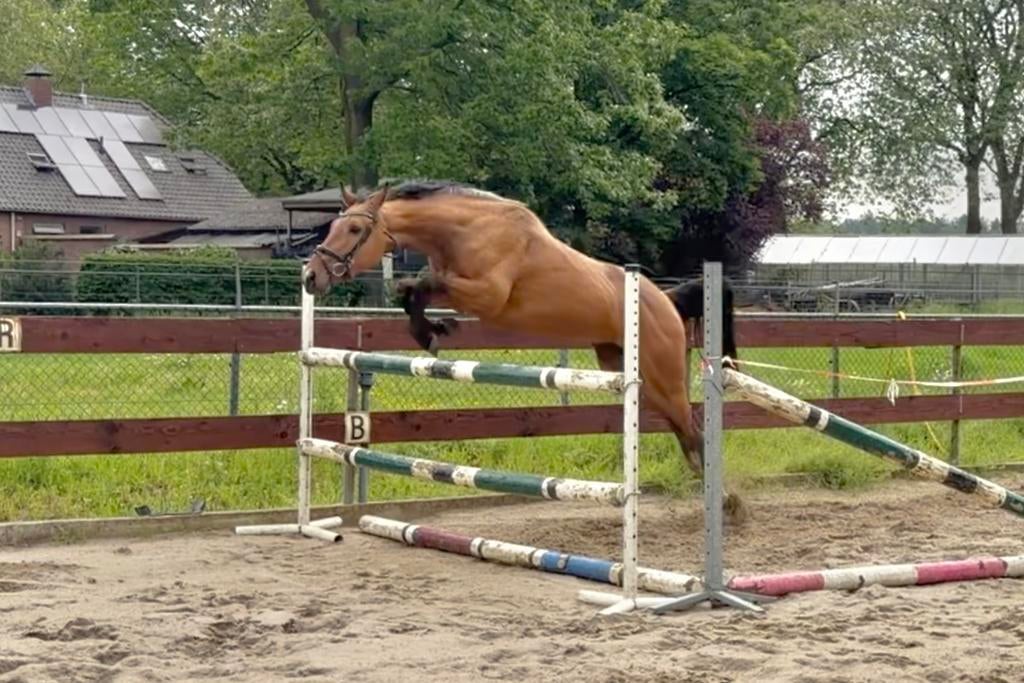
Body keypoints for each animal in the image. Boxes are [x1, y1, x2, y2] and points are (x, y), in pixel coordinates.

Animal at [302, 180, 746, 523]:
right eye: (332, 225)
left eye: (354, 228)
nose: (310, 276)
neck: (466, 230)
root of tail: (665, 301)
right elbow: (410, 290)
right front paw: (433, 332)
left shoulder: (486, 295)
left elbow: (419, 284)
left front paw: (433, 332)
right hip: (630, 372)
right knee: (685, 433)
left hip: (661, 377)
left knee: (694, 430)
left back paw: (728, 503)